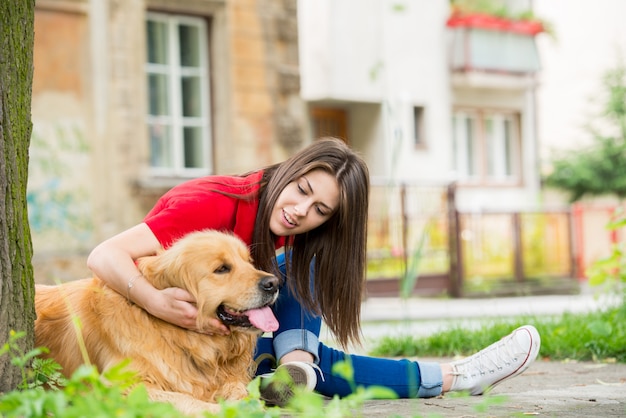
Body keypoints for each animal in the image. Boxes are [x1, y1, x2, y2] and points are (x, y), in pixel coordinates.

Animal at [33, 230, 278, 414]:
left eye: (249, 262)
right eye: (222, 269)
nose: (274, 283)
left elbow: (239, 390)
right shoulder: (118, 386)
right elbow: (187, 400)